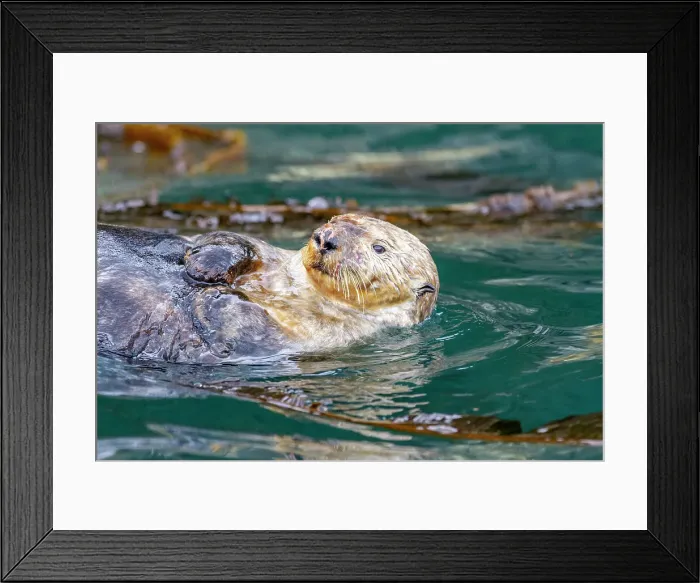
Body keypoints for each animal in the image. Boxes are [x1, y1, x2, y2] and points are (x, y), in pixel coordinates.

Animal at [97, 215, 439, 363]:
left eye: (379, 248)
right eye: (334, 219)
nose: (326, 238)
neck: (294, 288)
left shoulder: (318, 337)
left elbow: (241, 330)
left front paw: (215, 292)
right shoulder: (269, 252)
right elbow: (230, 239)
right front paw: (206, 264)